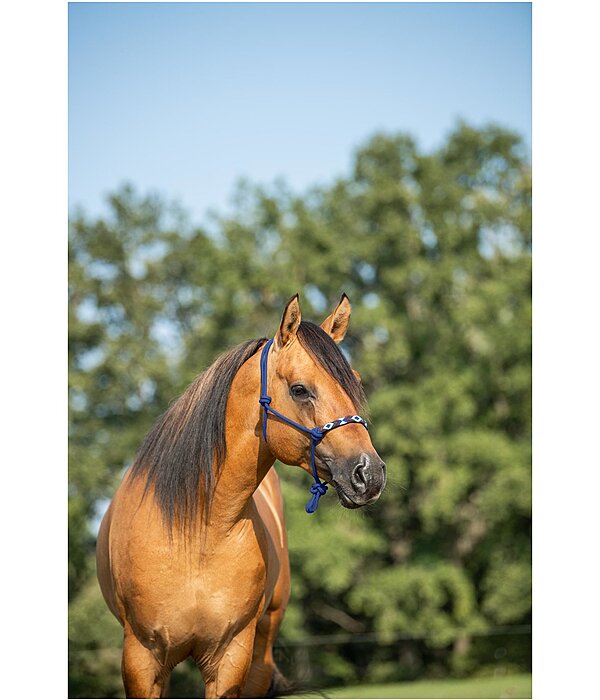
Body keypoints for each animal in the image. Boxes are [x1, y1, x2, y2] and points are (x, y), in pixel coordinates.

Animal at [94, 292, 384, 696]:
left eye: (354, 382)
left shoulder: (230, 659)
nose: (369, 474)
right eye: (299, 389)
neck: (197, 533)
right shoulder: (142, 660)